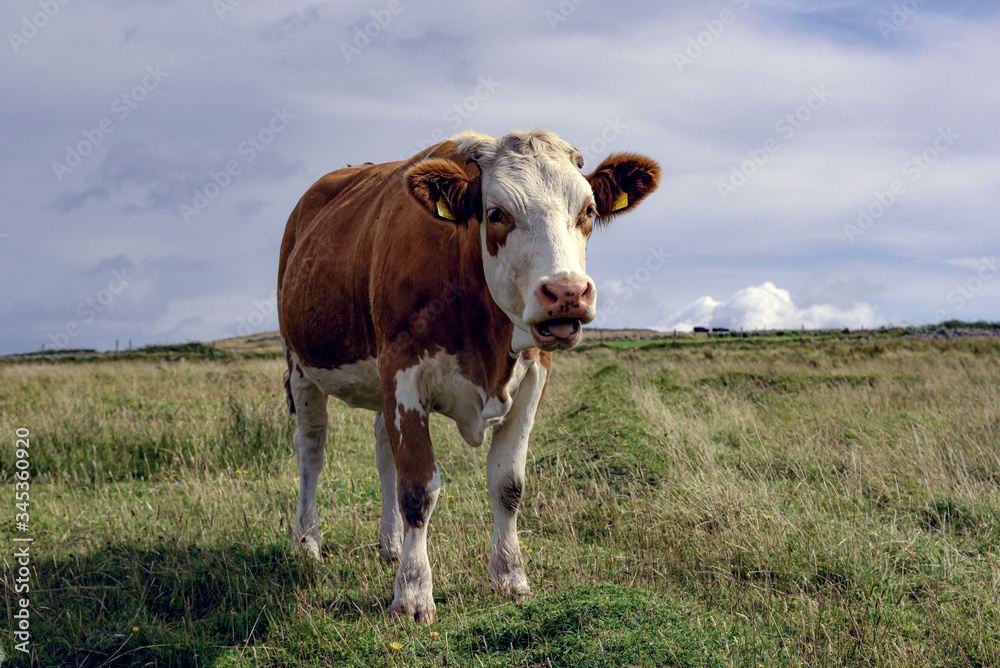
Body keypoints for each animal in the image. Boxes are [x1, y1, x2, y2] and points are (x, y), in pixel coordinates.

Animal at [278, 129, 660, 620]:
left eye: (588, 211)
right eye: (497, 214)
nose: (567, 293)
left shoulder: (534, 375)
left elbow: (508, 483)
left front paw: (510, 577)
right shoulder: (402, 369)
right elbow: (418, 488)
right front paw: (412, 594)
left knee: (383, 447)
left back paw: (390, 545)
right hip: (301, 365)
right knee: (311, 450)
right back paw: (307, 542)